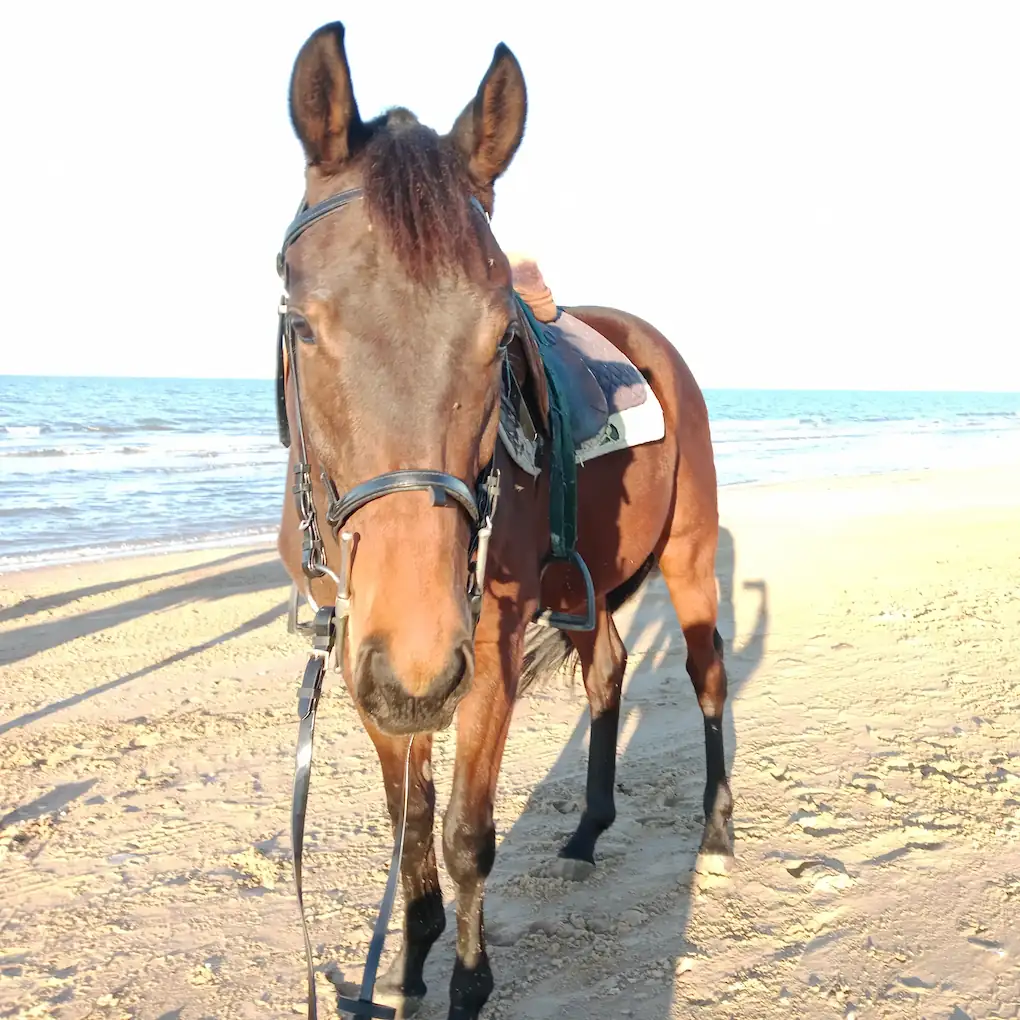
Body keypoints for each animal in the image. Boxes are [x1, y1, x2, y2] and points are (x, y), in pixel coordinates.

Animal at [275, 21, 732, 1020]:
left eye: (496, 340)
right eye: (305, 324)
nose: (417, 660)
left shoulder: (483, 654)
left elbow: (465, 837)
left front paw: (468, 983)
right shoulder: (372, 663)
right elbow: (409, 826)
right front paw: (410, 961)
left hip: (687, 562)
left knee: (708, 677)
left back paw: (718, 830)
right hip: (583, 583)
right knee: (609, 673)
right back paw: (589, 830)